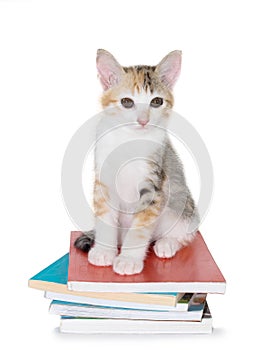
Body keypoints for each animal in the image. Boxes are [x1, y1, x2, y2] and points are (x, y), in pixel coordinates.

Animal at [74, 49, 199, 274]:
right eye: (127, 102)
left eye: (156, 102)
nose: (143, 121)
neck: (128, 141)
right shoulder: (104, 181)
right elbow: (104, 218)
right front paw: (104, 251)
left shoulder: (153, 186)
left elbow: (141, 226)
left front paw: (128, 260)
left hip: (182, 207)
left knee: (185, 234)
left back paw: (167, 243)